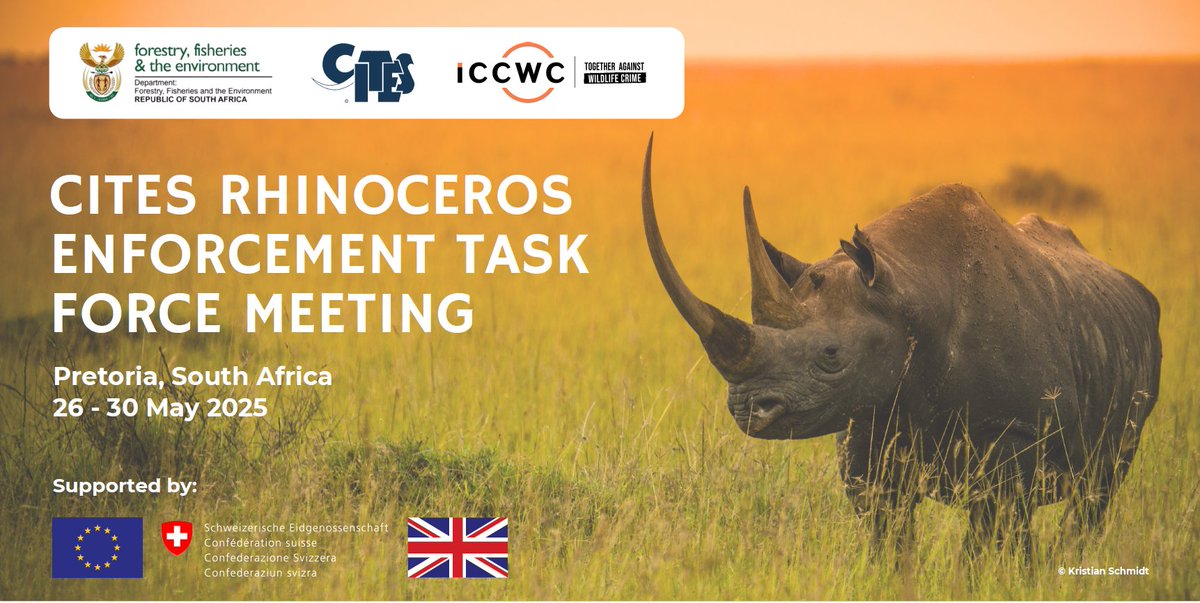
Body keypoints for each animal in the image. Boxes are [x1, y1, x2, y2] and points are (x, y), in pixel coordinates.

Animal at [640, 136, 1161, 557]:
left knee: (1096, 492)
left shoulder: (1017, 429)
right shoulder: (865, 427)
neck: (906, 294)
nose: (747, 408)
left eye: (831, 356)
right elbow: (889, 537)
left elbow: (992, 535)